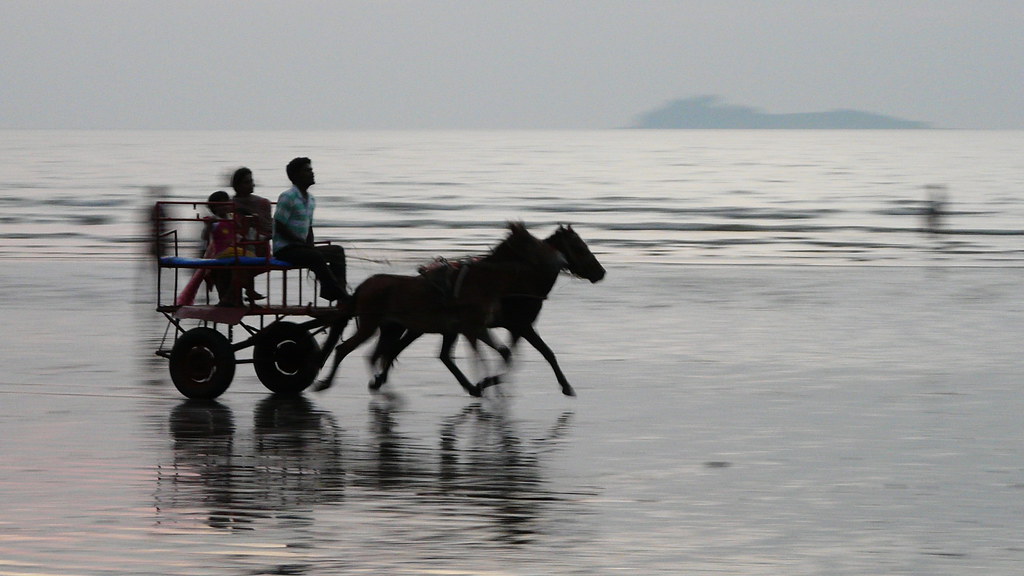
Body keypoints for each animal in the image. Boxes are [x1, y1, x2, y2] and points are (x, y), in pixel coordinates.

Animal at [315, 223, 565, 393]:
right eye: (533, 242)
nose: (560, 260)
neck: (481, 281)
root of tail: (366, 284)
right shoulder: (472, 329)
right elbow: (481, 359)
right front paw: (484, 386)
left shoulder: (470, 328)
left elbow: (498, 353)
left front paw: (483, 386)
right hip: (370, 325)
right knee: (345, 349)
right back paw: (327, 383)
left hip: (390, 326)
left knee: (377, 355)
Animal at [370, 223, 602, 393]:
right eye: (580, 247)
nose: (601, 272)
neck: (523, 281)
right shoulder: (521, 326)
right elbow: (544, 353)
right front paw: (566, 386)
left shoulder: (515, 329)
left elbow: (513, 357)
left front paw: (490, 380)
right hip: (428, 326)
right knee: (399, 350)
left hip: (441, 328)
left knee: (430, 353)